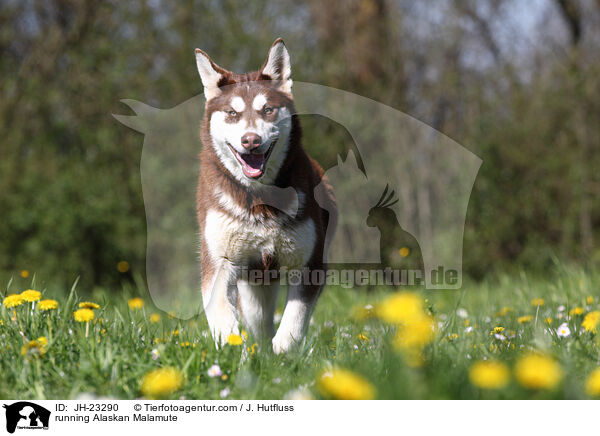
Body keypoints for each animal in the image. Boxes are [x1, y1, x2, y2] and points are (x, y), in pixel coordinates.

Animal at [197, 38, 338, 354]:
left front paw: (282, 355)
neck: (259, 199)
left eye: (268, 110)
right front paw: (233, 351)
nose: (251, 141)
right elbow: (223, 316)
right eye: (232, 113)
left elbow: (294, 321)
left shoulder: (309, 263)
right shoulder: (219, 262)